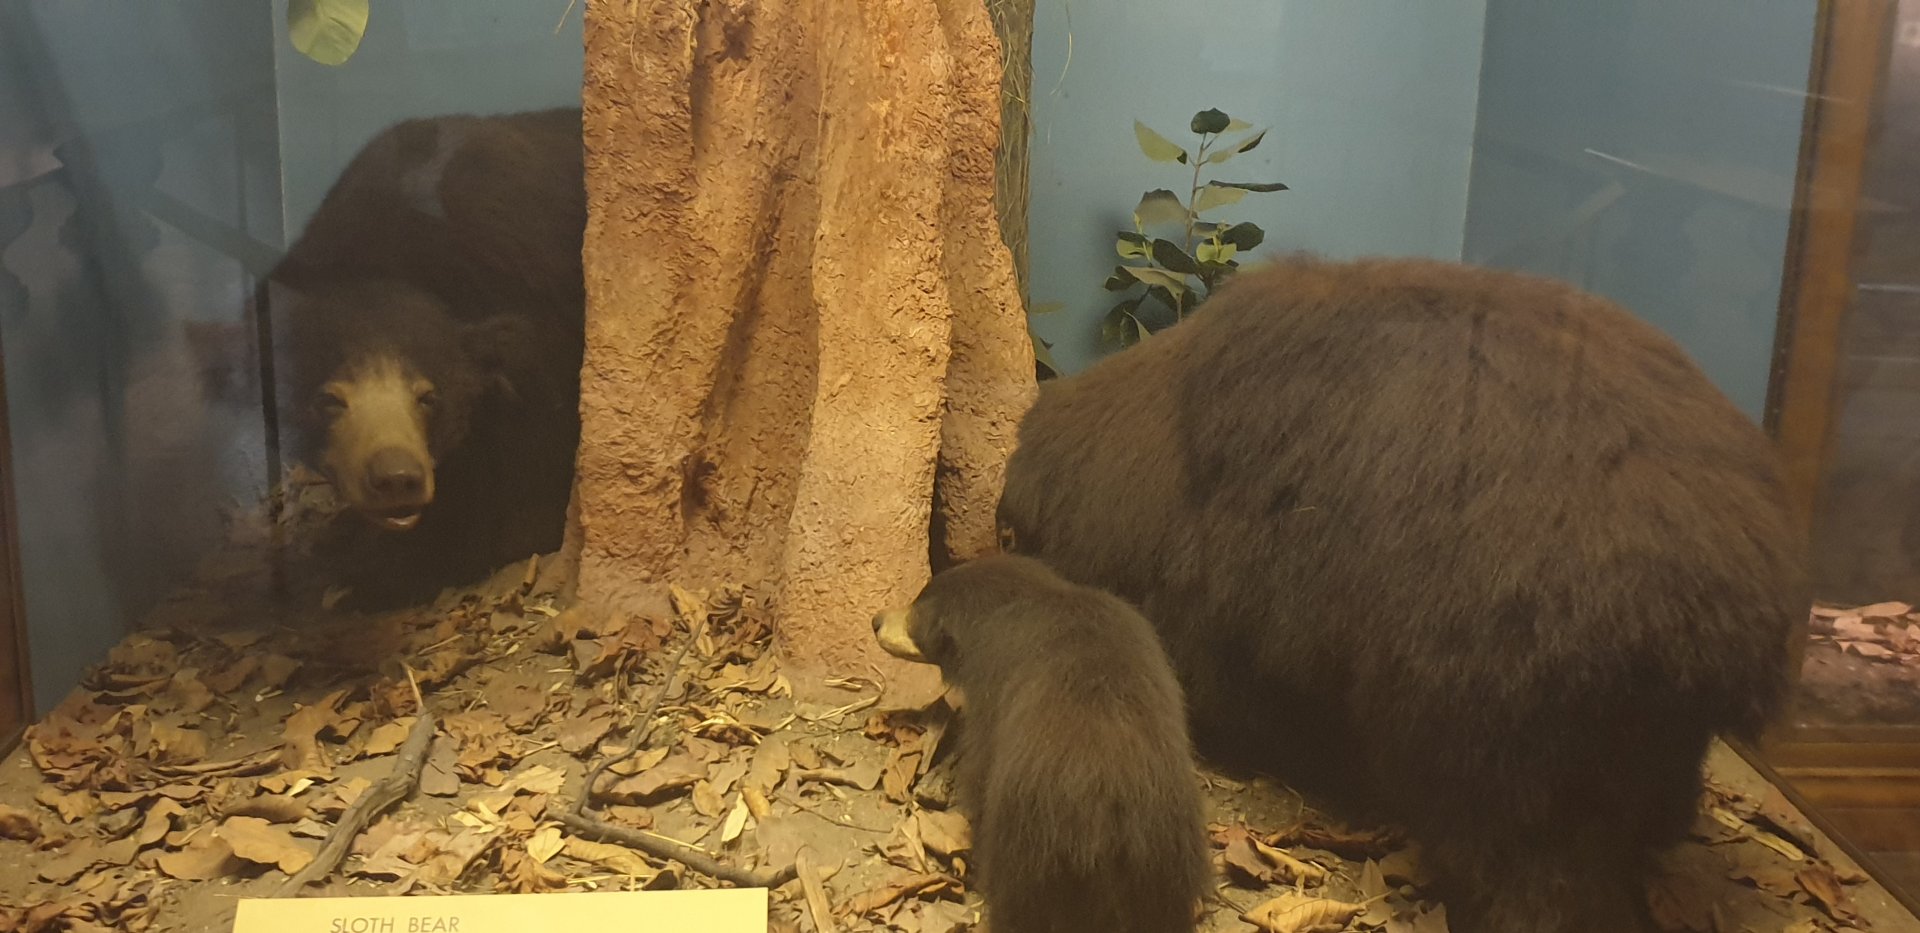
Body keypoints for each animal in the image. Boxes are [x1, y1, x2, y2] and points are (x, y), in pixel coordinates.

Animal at [871, 553, 1211, 933]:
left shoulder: (990, 694)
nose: (876, 620)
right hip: (1163, 861)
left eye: (917, 611)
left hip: (1030, 850)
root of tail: (1106, 806)